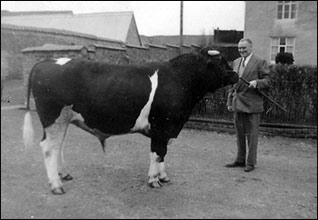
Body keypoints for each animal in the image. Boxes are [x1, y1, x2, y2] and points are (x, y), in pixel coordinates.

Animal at [22, 48, 237, 194]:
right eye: (221, 62)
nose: (235, 75)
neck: (179, 79)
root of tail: (47, 61)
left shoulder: (168, 129)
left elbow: (163, 153)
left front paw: (163, 176)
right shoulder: (161, 127)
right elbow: (157, 153)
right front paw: (154, 180)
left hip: (62, 120)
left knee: (58, 146)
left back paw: (63, 174)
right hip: (53, 118)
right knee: (49, 148)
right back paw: (56, 185)